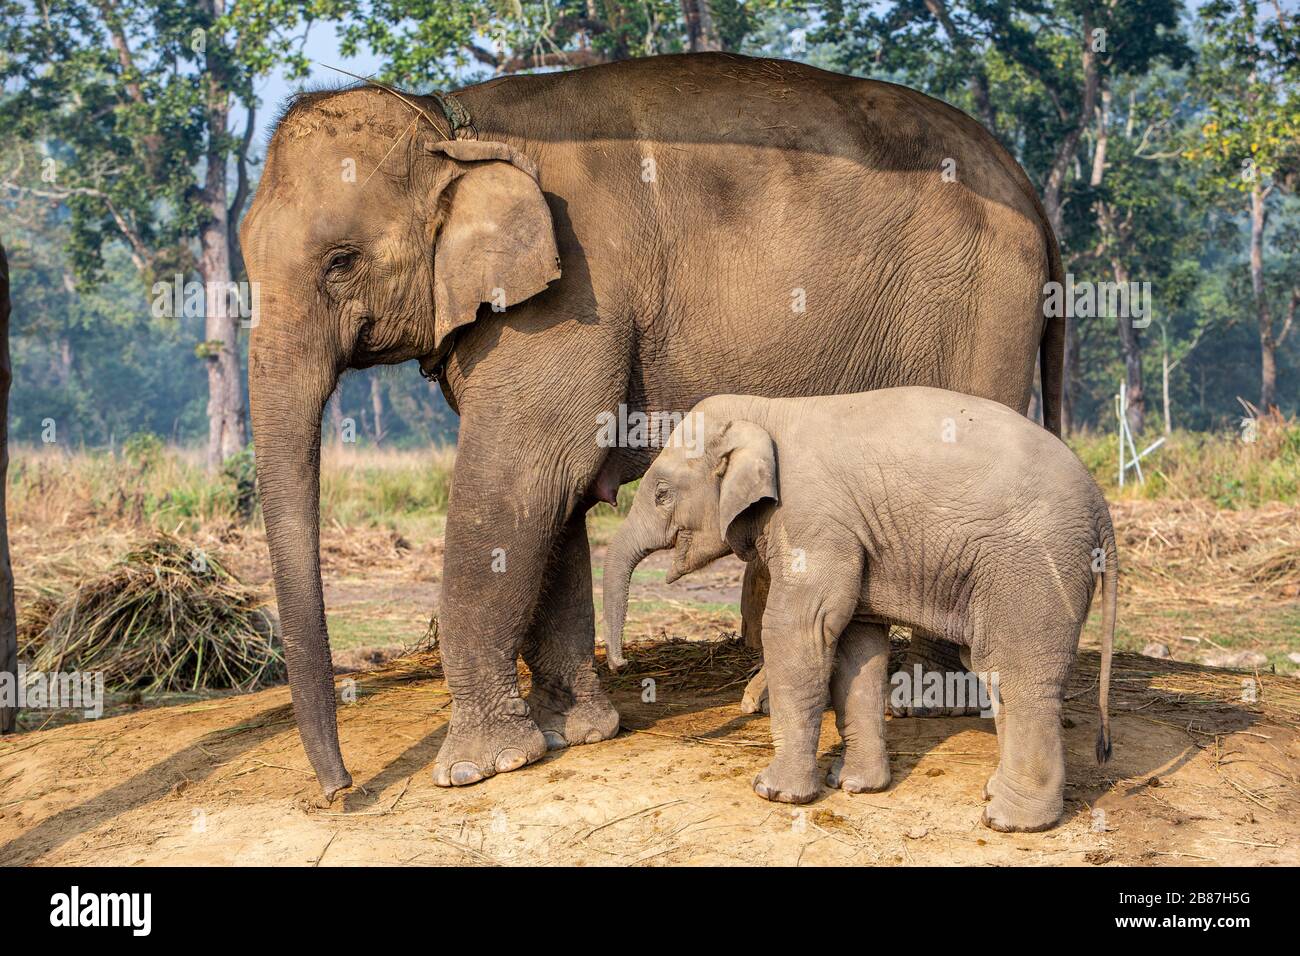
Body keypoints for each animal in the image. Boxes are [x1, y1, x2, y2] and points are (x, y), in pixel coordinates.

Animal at [241, 52, 1055, 801]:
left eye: (341, 261)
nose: (341, 791)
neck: (451, 123)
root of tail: (1028, 186)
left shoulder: (570, 300)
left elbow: (517, 481)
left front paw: (476, 767)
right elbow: (555, 498)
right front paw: (576, 731)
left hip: (980, 306)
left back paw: (924, 698)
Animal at [600, 385, 1118, 832]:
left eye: (662, 493)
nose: (621, 663)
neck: (767, 410)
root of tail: (1103, 512)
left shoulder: (813, 521)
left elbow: (798, 630)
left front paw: (775, 793)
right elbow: (856, 643)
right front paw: (853, 786)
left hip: (1030, 570)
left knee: (1014, 672)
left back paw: (1009, 821)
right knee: (998, 674)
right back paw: (995, 794)